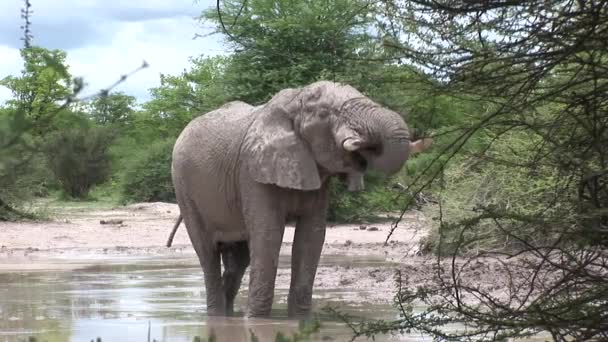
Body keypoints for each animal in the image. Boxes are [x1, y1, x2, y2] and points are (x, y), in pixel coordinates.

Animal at [169, 80, 430, 318]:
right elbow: (268, 235)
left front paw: (299, 320)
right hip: (183, 187)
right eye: (324, 113)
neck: (294, 101)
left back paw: (228, 315)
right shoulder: (252, 171)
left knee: (238, 260)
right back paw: (216, 316)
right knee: (207, 252)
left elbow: (311, 237)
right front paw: (256, 321)